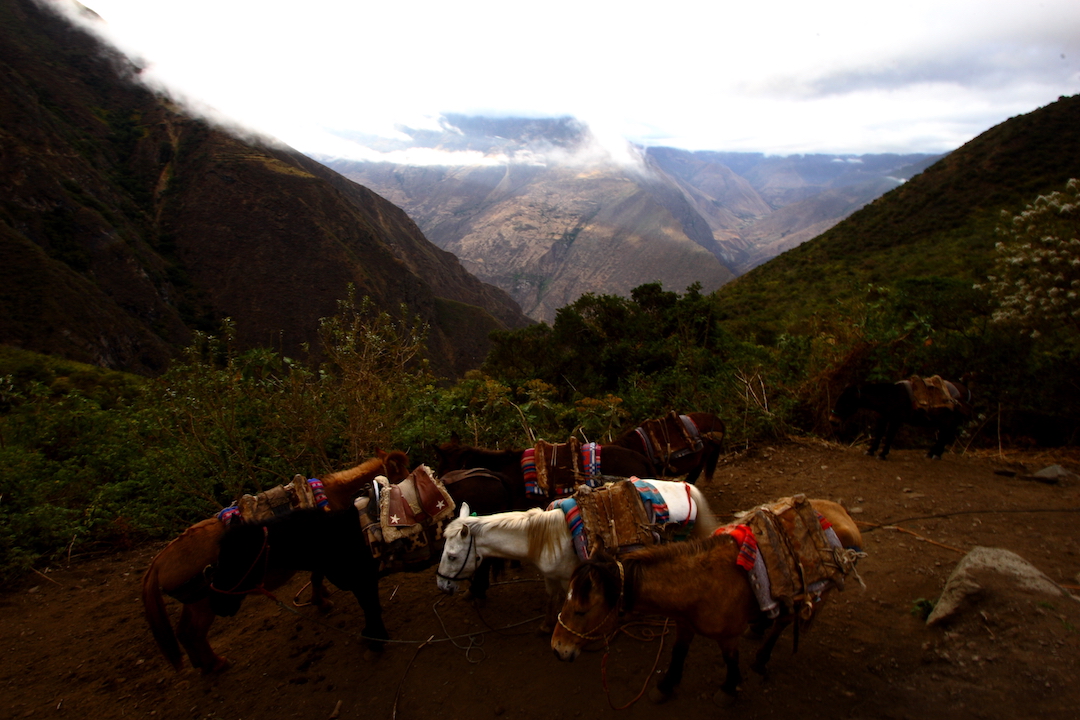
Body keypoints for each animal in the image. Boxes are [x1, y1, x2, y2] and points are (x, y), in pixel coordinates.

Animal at [142, 453, 408, 673]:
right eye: (401, 477)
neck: (333, 496)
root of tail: (159, 561)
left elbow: (316, 575)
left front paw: (319, 598)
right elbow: (316, 576)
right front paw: (321, 601)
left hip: (194, 603)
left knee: (183, 632)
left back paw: (202, 664)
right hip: (205, 604)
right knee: (193, 633)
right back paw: (216, 664)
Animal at [429, 481, 717, 626]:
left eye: (452, 556)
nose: (442, 585)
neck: (544, 539)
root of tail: (688, 487)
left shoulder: (572, 577)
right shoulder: (550, 577)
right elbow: (550, 598)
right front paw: (546, 626)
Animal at [552, 500, 864, 703]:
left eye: (581, 610)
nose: (557, 649)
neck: (699, 585)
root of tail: (842, 517)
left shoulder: (727, 636)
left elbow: (730, 659)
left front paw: (729, 689)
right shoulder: (684, 624)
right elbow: (677, 653)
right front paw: (666, 686)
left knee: (784, 623)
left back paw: (762, 658)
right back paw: (759, 625)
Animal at [829, 379, 976, 459]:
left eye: (845, 403)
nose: (832, 420)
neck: (890, 397)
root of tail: (966, 390)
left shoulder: (895, 420)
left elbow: (888, 436)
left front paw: (882, 454)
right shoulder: (882, 418)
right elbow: (879, 434)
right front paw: (871, 450)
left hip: (949, 420)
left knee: (945, 435)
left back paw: (936, 454)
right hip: (944, 420)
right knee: (944, 435)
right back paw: (932, 453)